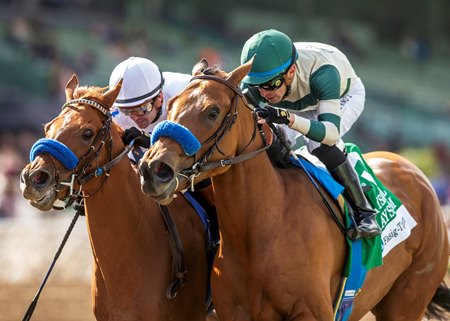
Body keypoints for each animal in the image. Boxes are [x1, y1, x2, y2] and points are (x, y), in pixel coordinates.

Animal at [139, 58, 448, 318]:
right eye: (170, 105)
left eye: (212, 112)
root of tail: (414, 171)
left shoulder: (311, 312)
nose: (153, 170)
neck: (265, 227)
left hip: (407, 299)